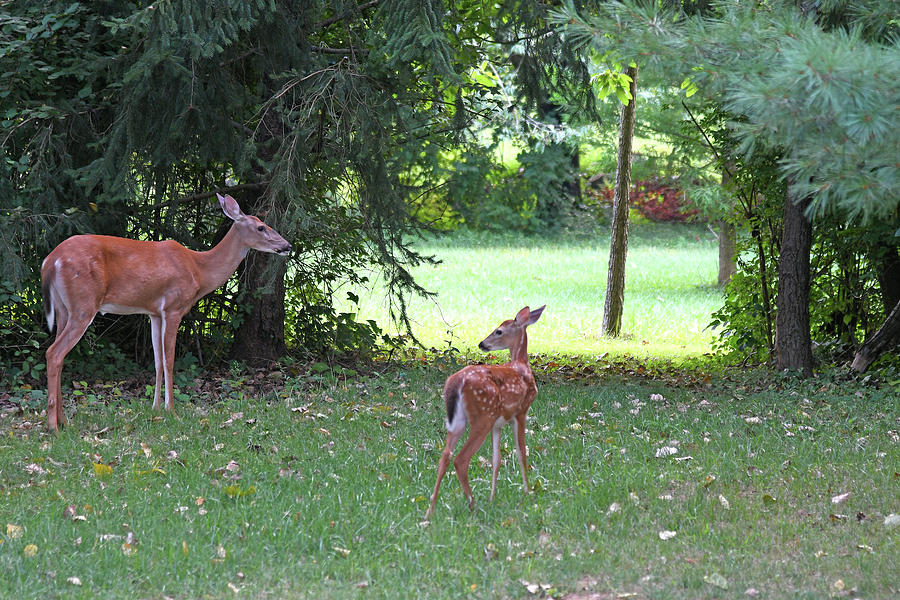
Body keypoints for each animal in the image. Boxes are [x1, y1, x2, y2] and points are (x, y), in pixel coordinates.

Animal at [40, 193, 290, 432]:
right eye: (261, 227)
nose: (287, 245)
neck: (199, 269)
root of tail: (50, 260)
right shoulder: (173, 307)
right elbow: (170, 360)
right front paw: (172, 411)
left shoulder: (154, 313)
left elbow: (158, 361)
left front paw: (156, 408)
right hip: (84, 304)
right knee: (54, 353)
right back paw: (53, 426)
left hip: (64, 308)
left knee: (58, 353)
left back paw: (64, 421)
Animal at [426, 304, 544, 520]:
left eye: (499, 331)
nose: (482, 344)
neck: (522, 364)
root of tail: (455, 383)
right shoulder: (521, 411)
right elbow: (521, 452)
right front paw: (527, 493)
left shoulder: (498, 423)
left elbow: (496, 460)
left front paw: (492, 497)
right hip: (483, 416)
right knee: (460, 459)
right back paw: (472, 504)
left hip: (460, 420)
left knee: (445, 456)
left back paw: (430, 510)